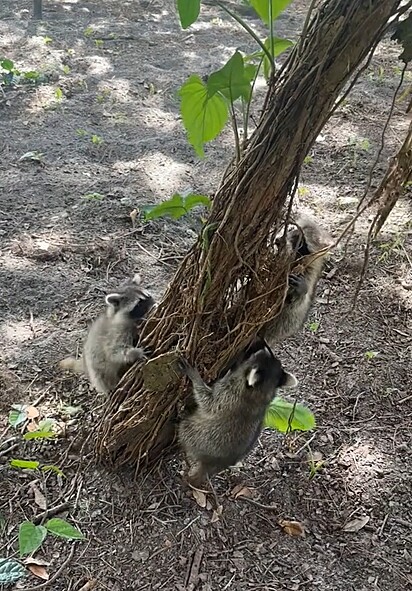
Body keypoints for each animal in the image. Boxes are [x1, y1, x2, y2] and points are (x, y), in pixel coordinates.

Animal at [262, 214, 334, 344]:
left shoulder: (309, 273)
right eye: (291, 230)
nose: (279, 240)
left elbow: (296, 306)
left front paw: (300, 291)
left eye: (301, 242)